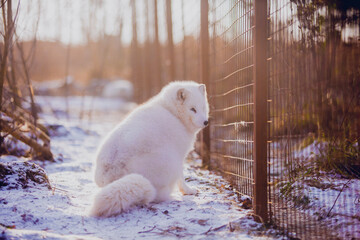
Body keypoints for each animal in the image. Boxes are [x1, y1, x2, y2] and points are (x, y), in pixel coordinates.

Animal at [90, 80, 210, 218]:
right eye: (192, 109)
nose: (205, 122)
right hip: (170, 162)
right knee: (157, 196)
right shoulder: (180, 156)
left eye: (203, 108)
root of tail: (113, 175)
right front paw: (188, 191)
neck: (172, 112)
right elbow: (182, 179)